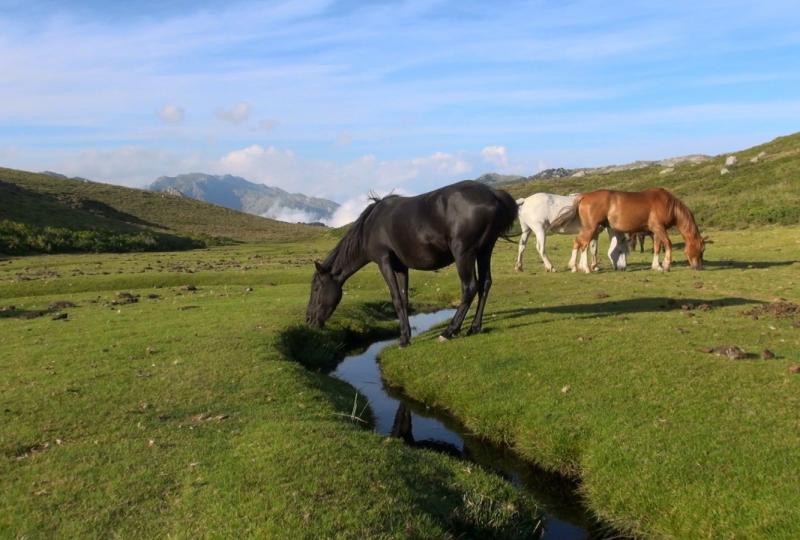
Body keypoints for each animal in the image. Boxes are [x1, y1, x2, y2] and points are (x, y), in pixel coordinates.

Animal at [306, 179, 520, 344]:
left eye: (316, 288)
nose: (309, 320)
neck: (370, 226)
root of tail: (493, 194)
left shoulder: (384, 261)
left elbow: (395, 298)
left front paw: (402, 339)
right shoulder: (401, 267)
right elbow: (404, 298)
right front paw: (406, 334)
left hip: (464, 253)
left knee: (470, 287)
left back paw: (449, 331)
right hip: (485, 251)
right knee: (485, 284)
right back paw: (474, 327)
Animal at [552, 190, 704, 274]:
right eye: (701, 250)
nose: (699, 267)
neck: (668, 204)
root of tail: (584, 196)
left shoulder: (655, 232)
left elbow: (657, 248)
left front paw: (657, 266)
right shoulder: (659, 228)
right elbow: (668, 244)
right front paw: (666, 265)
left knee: (578, 242)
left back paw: (574, 266)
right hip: (591, 228)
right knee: (583, 244)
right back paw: (586, 268)